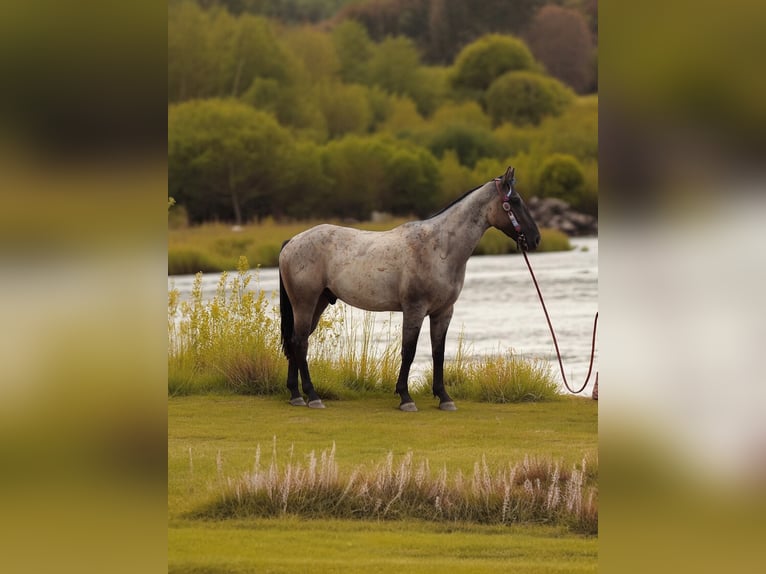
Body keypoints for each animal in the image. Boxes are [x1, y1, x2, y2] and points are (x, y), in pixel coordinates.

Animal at [278, 166, 541, 411]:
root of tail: (291, 242)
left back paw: (296, 395)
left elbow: (438, 353)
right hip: (305, 303)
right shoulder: (414, 309)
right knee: (300, 343)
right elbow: (409, 350)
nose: (535, 238)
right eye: (515, 202)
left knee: (295, 341)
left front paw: (444, 398)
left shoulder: (443, 312)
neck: (440, 248)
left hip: (318, 303)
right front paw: (405, 397)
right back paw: (312, 396)